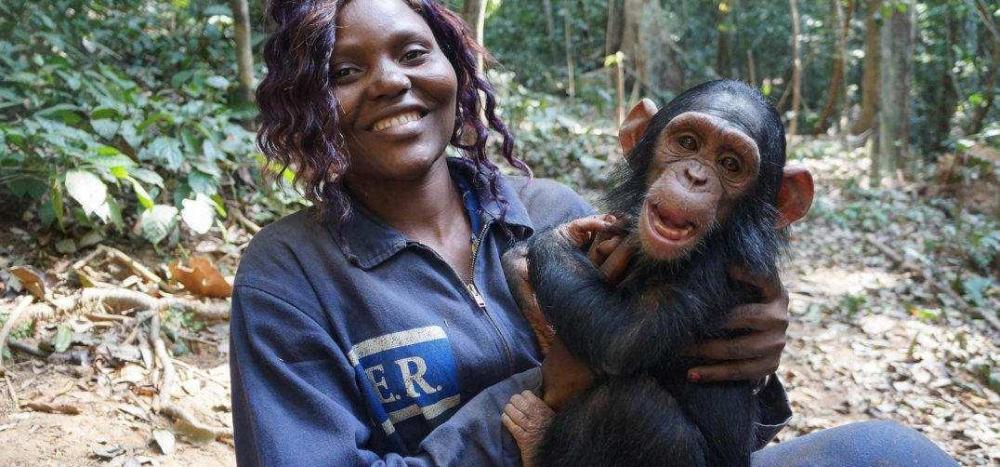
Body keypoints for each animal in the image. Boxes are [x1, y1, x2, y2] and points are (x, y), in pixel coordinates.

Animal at [500, 81, 812, 467]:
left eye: (731, 164)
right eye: (688, 143)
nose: (695, 177)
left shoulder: (711, 271)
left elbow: (622, 336)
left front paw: (558, 238)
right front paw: (524, 271)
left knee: (638, 410)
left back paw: (534, 432)